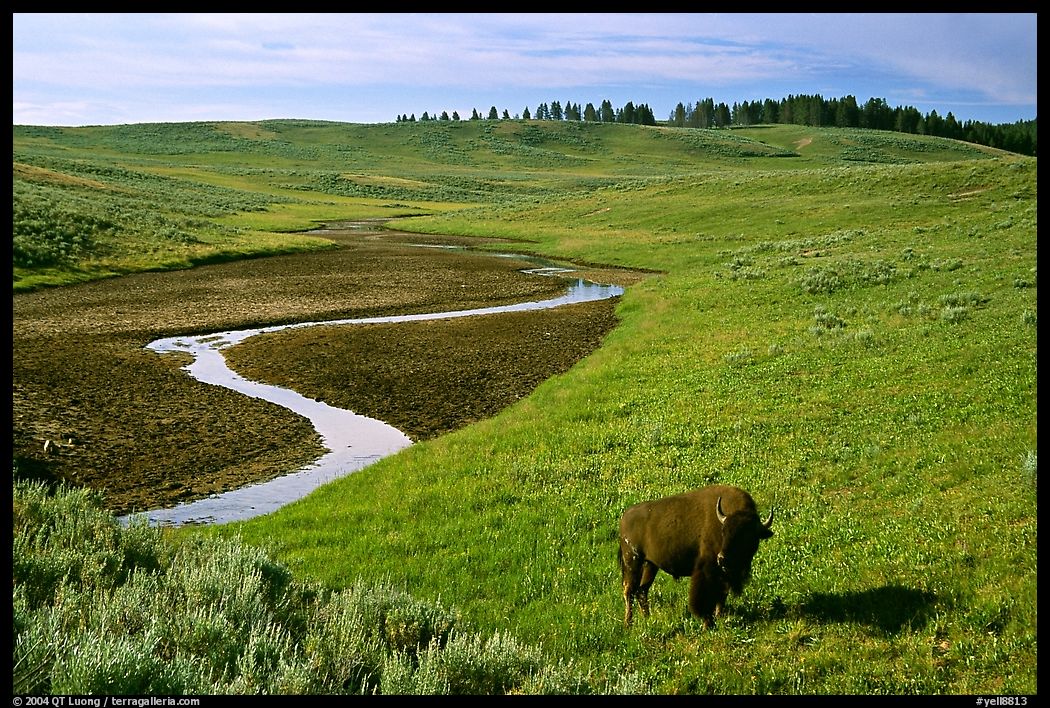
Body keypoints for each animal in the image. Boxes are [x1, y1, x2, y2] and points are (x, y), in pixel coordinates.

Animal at [618, 484, 774, 628]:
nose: (722, 558)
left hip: (650, 565)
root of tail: (624, 516)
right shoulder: (706, 571)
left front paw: (719, 617)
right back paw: (628, 624)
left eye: (748, 536)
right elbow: (705, 598)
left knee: (642, 590)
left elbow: (721, 596)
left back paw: (647, 618)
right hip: (632, 562)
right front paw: (707, 625)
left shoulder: (723, 575)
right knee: (629, 590)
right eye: (724, 532)